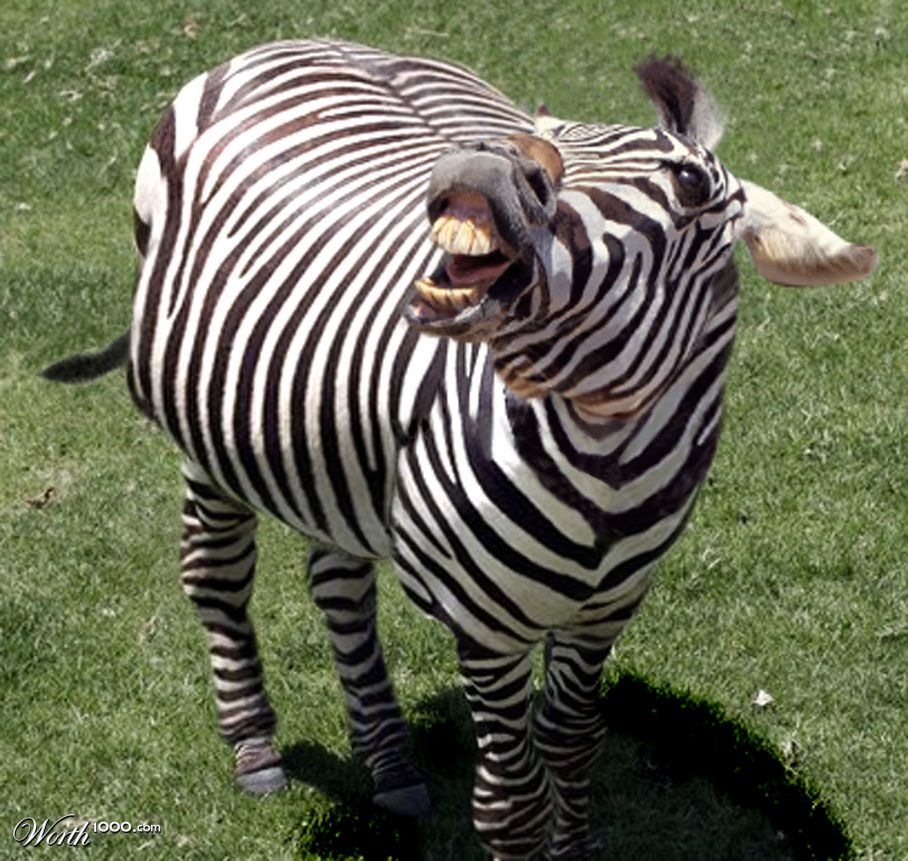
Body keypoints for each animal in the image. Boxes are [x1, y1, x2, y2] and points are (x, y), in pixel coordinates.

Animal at [43, 39, 876, 859]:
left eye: (688, 179)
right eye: (543, 130)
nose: (480, 162)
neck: (606, 465)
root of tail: (294, 41)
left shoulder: (604, 611)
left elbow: (573, 740)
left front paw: (572, 841)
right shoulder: (484, 625)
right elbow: (511, 802)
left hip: (329, 450)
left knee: (339, 585)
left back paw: (390, 763)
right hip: (206, 434)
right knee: (216, 576)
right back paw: (255, 746)